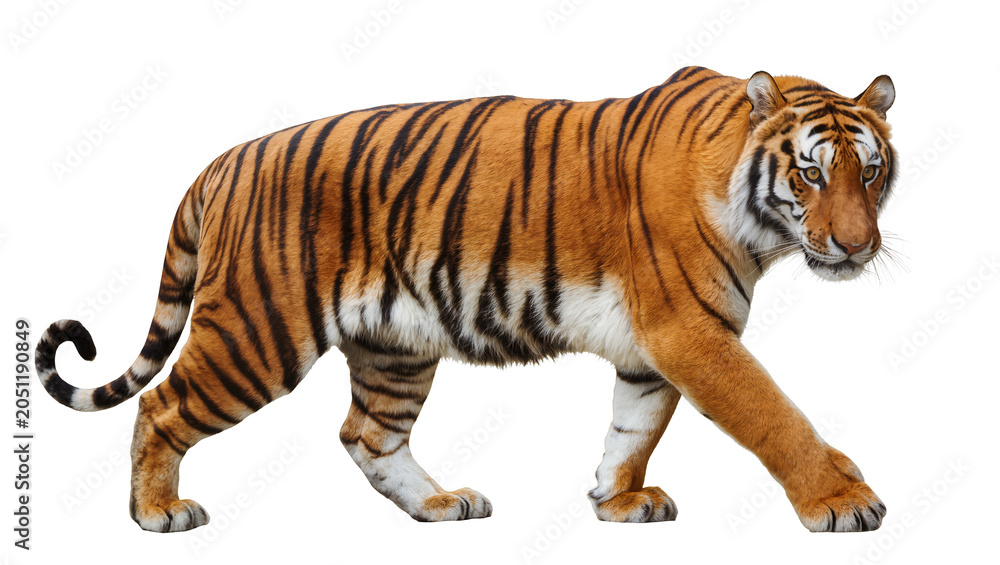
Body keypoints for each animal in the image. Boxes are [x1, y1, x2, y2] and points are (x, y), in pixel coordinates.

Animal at [36, 66, 897, 533]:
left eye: (872, 171)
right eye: (811, 173)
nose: (858, 246)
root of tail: (223, 160)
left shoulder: (657, 347)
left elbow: (634, 427)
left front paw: (615, 500)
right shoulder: (691, 330)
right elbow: (775, 415)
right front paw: (843, 500)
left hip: (394, 346)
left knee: (366, 435)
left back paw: (441, 504)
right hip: (258, 331)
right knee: (163, 405)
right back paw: (158, 513)